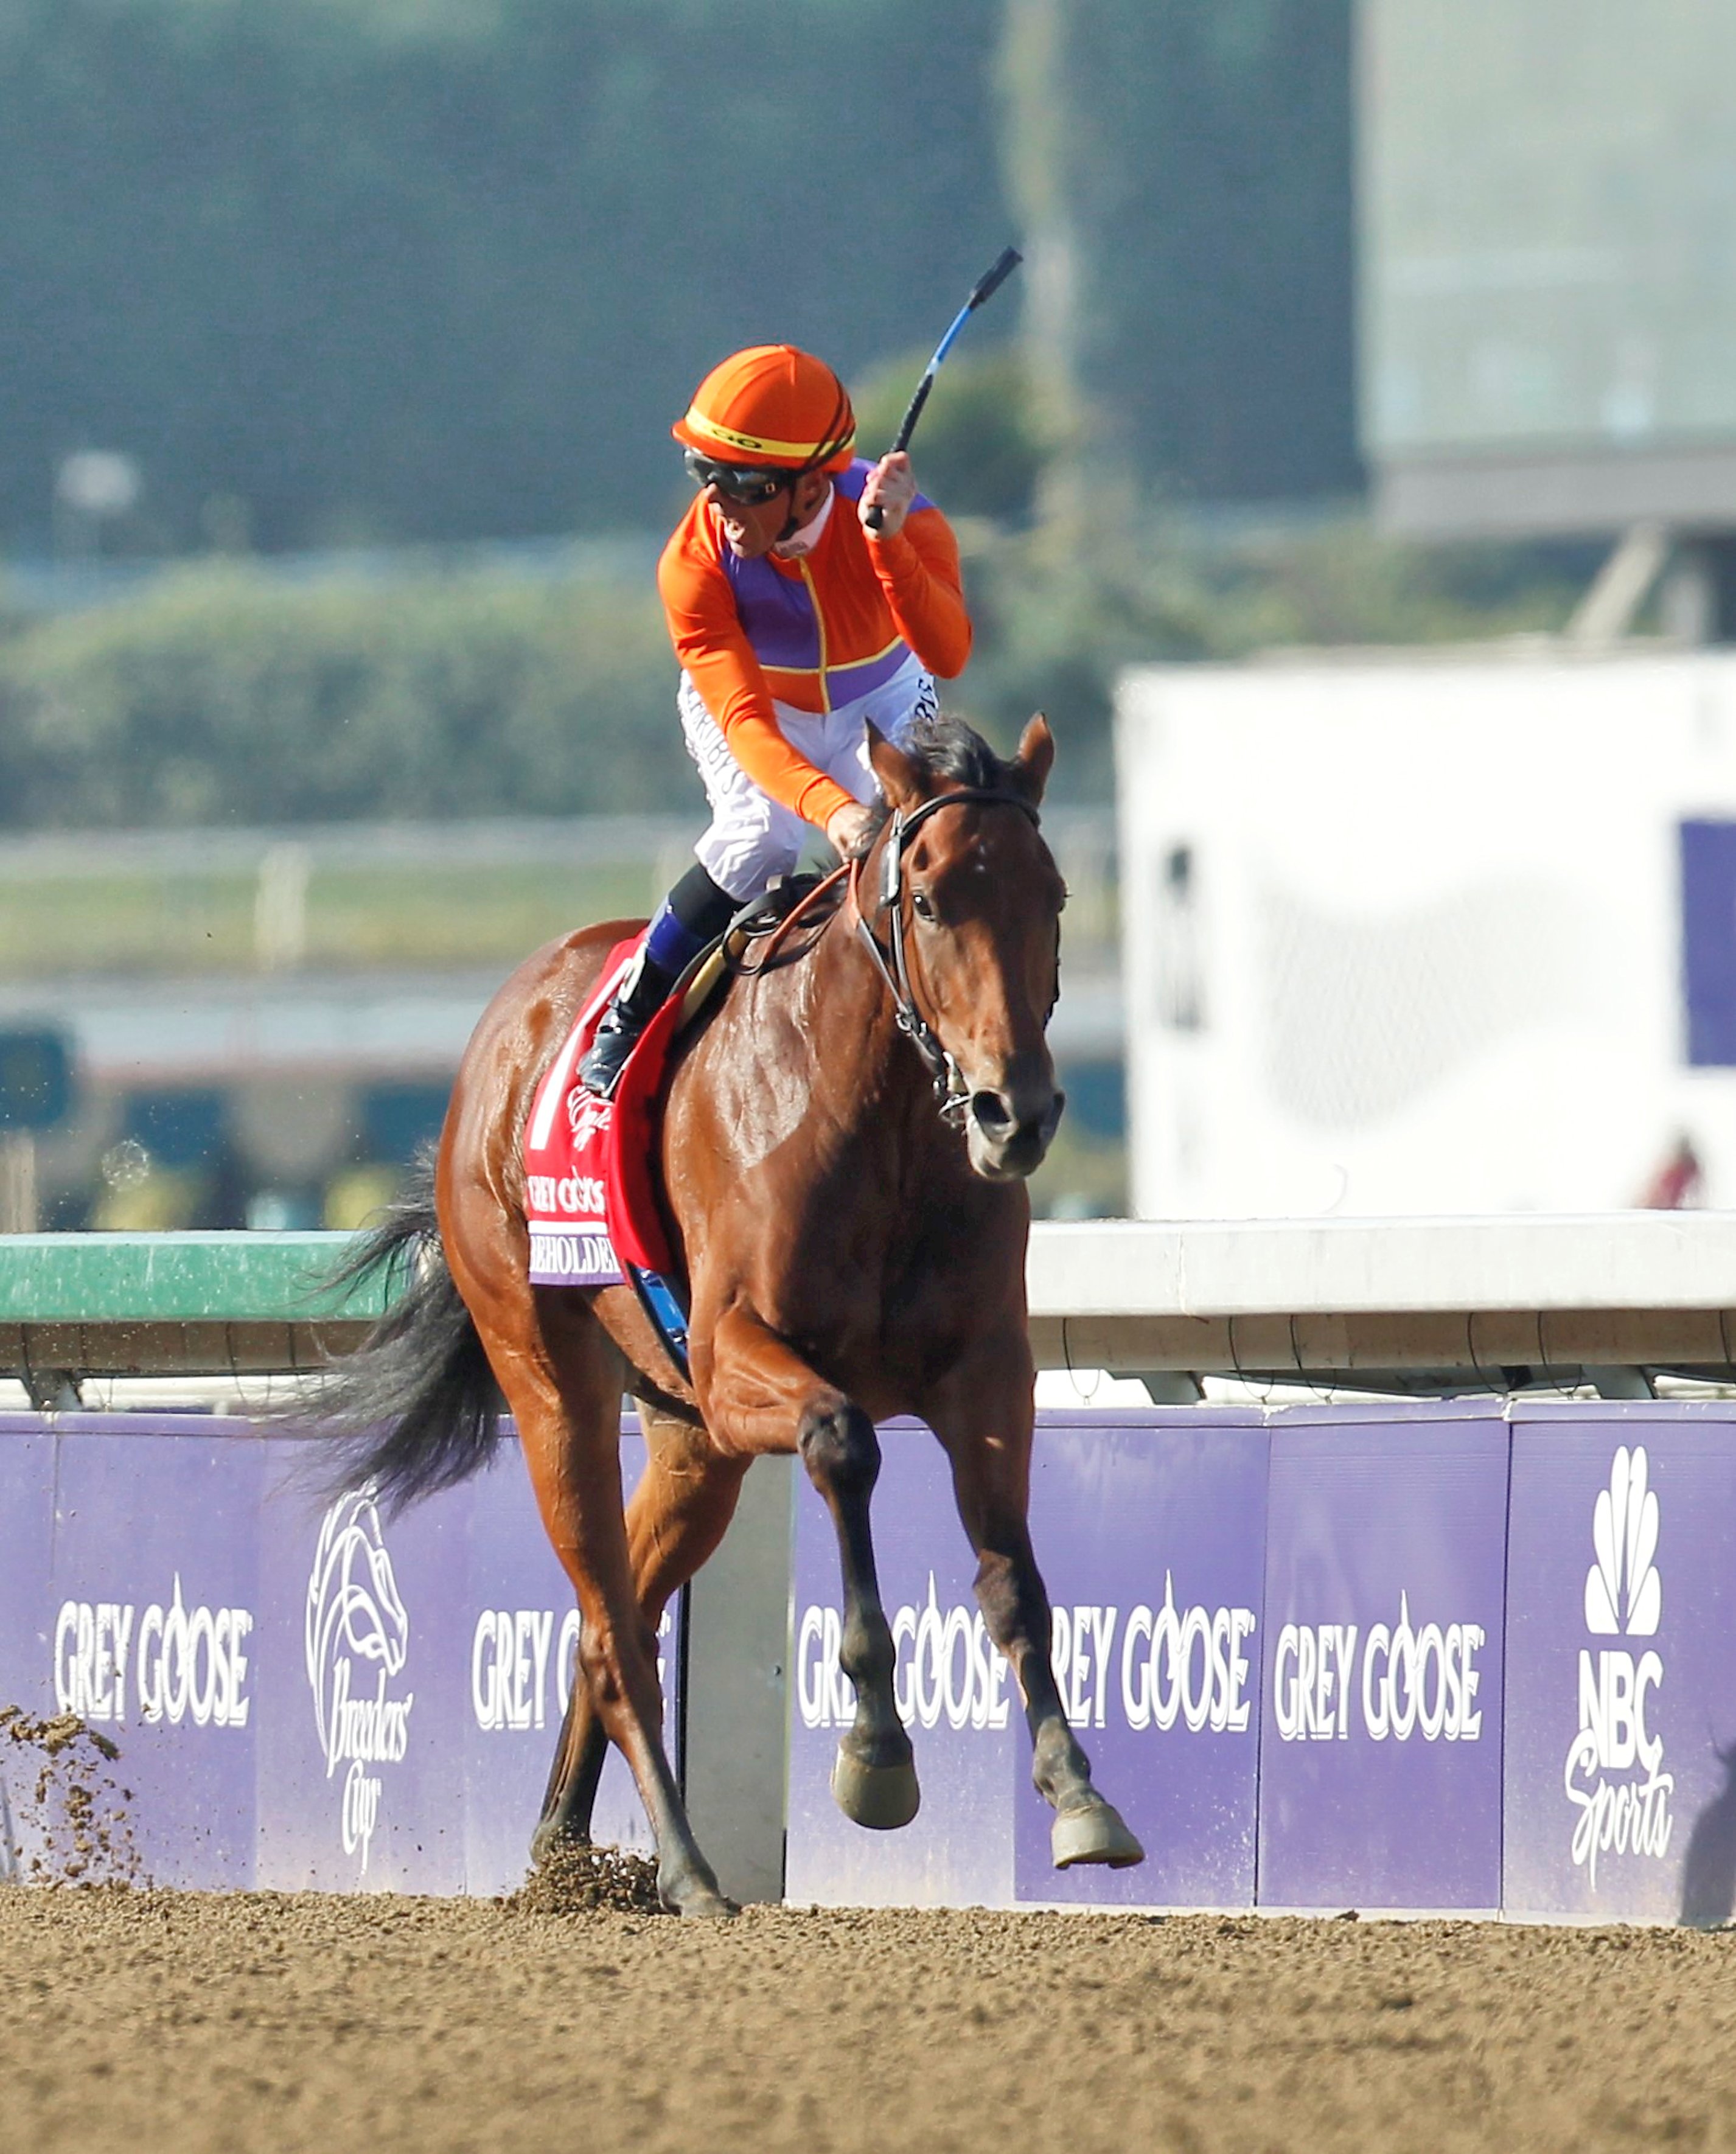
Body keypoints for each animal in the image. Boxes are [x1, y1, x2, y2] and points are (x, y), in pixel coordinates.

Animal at [321, 715, 1146, 1912]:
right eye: (929, 899)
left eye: (1054, 896)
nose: (1015, 1112)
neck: (883, 1124)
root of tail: (501, 1033)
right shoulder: (737, 1361)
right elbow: (844, 1443)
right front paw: (875, 1754)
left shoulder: (986, 1374)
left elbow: (1012, 1579)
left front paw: (1077, 1792)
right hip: (552, 1383)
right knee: (616, 1632)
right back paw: (686, 1865)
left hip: (687, 1443)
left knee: (607, 1621)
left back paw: (565, 1854)